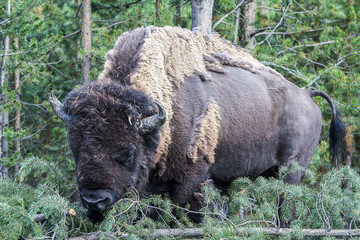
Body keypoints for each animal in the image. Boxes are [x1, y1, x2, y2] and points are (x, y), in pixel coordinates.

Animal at [50, 26, 344, 223]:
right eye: (75, 150)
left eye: (128, 152)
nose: (94, 201)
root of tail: (307, 94)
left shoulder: (192, 177)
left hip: (291, 171)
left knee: (287, 205)